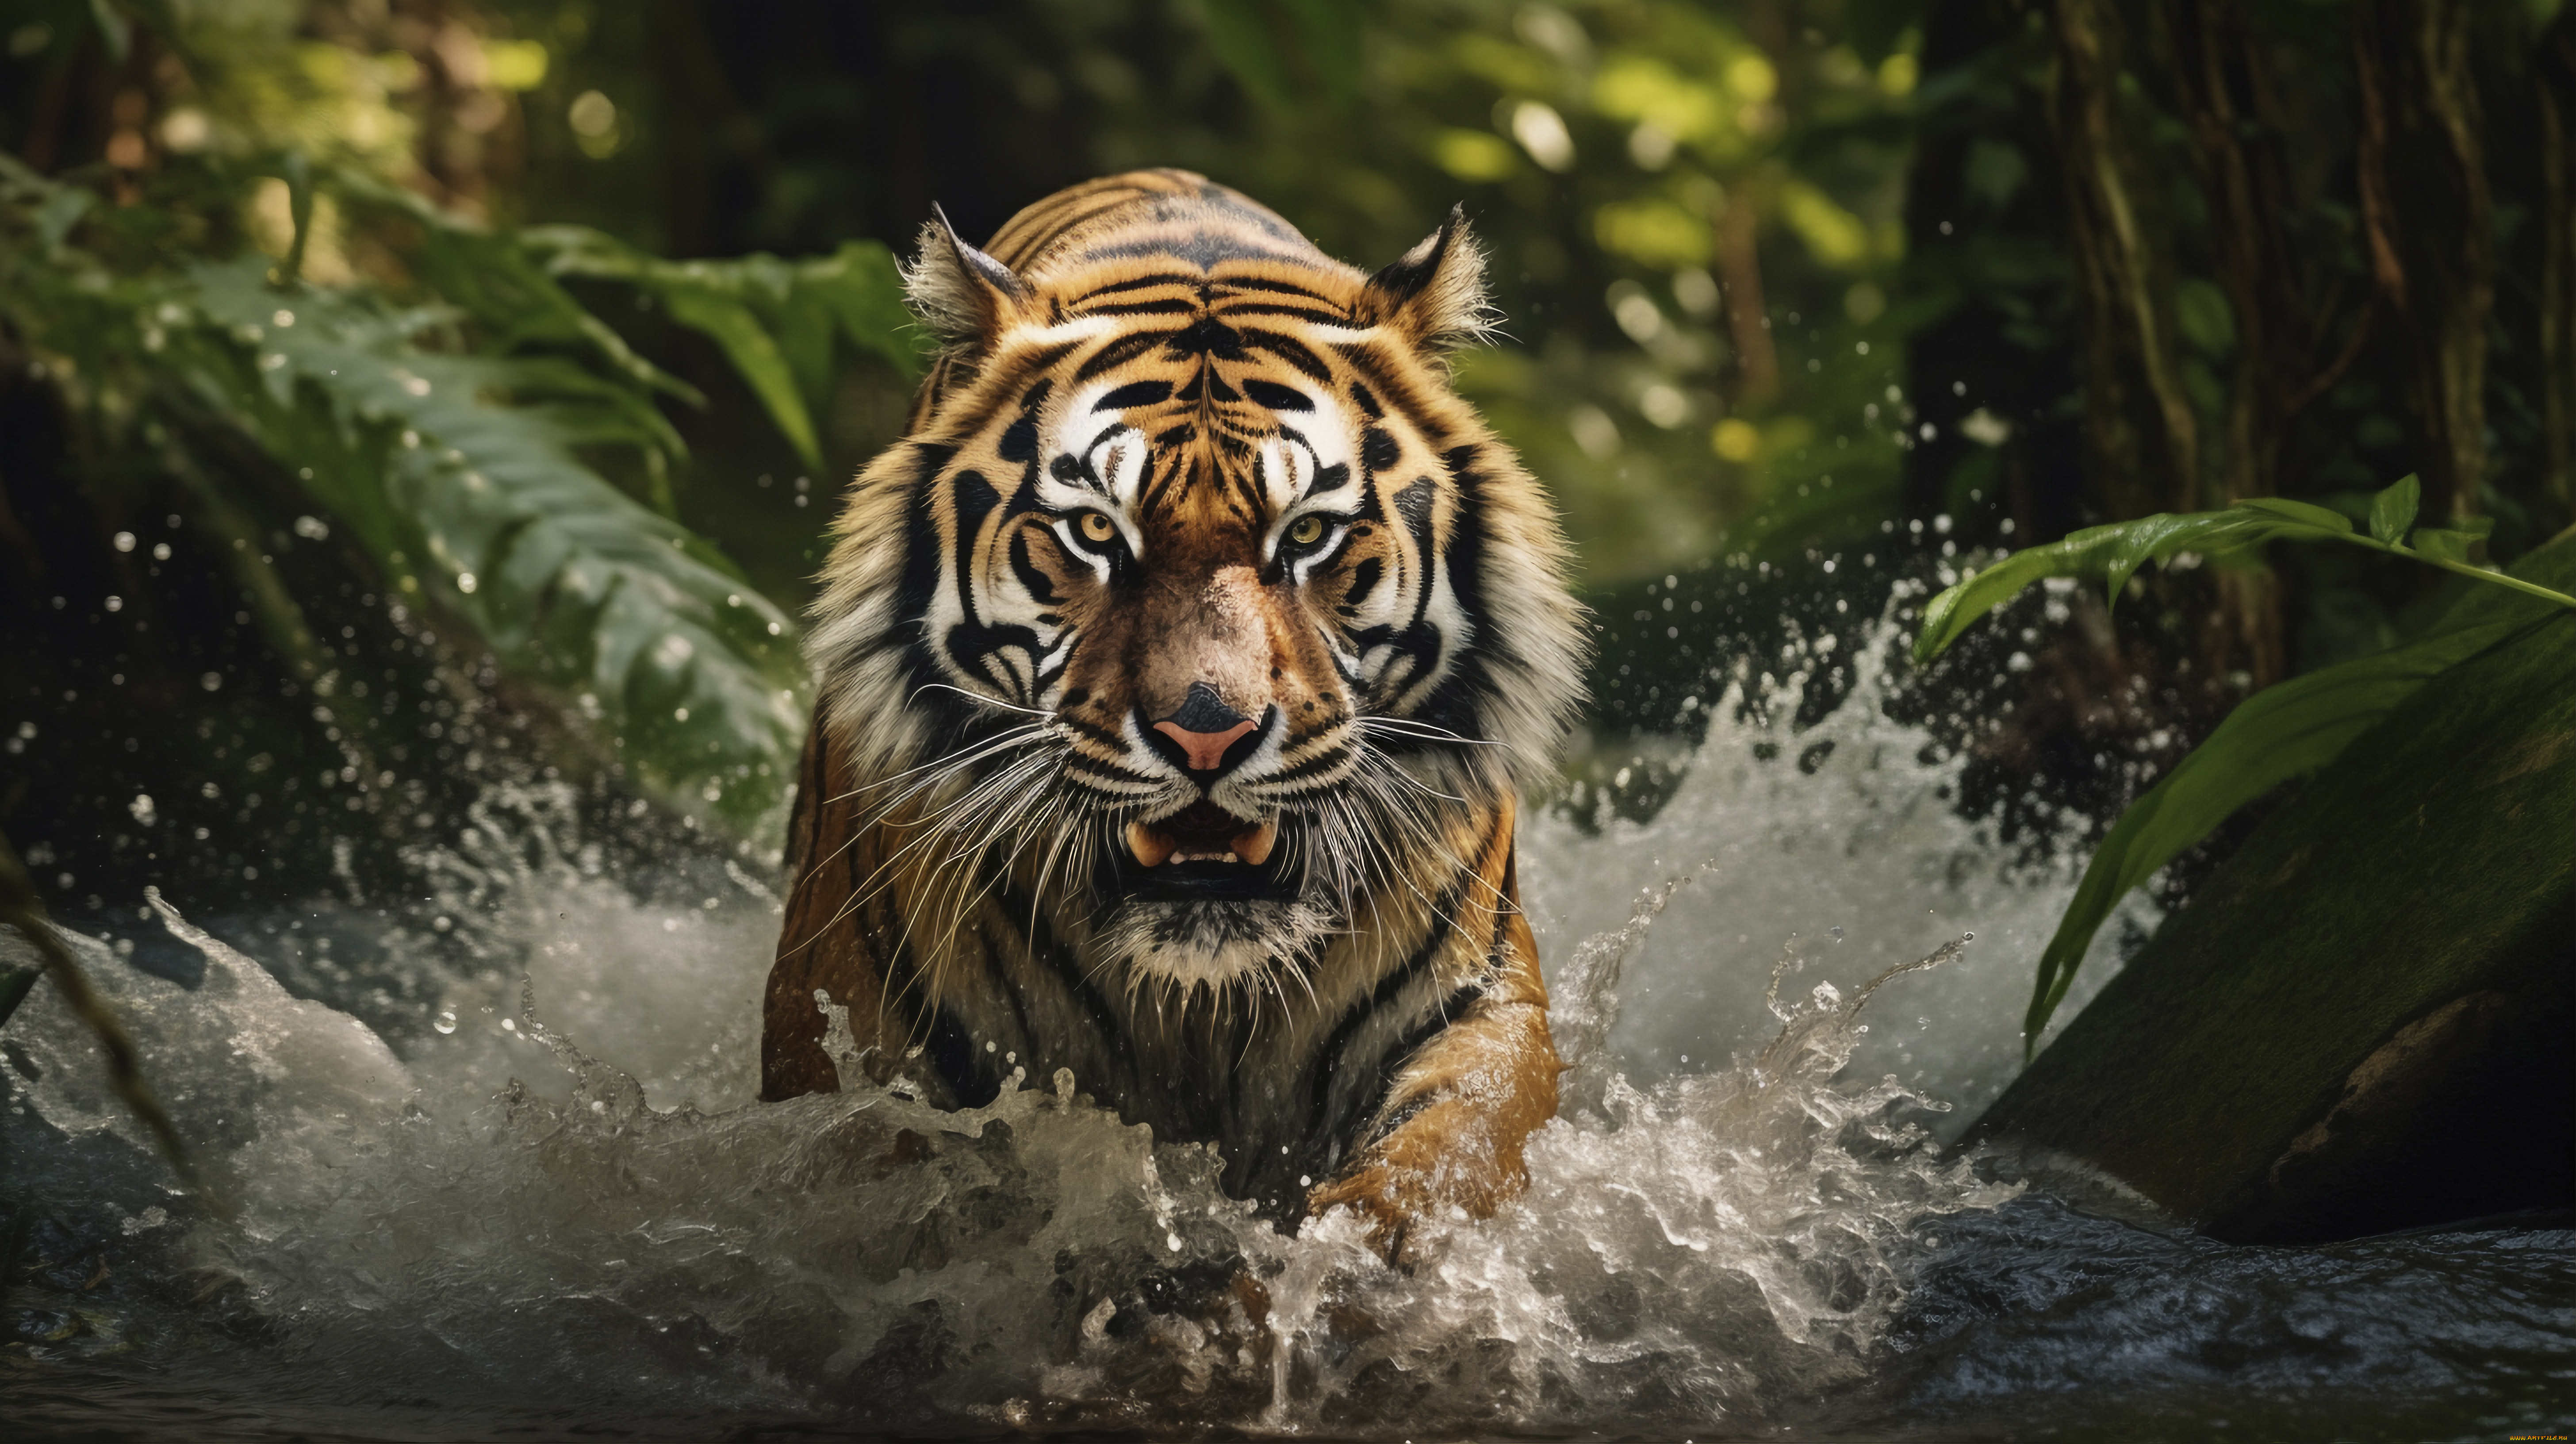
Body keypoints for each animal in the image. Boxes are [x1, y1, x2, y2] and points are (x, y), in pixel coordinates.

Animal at [761, 169, 1586, 1252]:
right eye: (1092, 532)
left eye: (1308, 534)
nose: (1207, 732)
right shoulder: (846, 1041)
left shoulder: (1476, 1009)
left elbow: (1432, 1168)